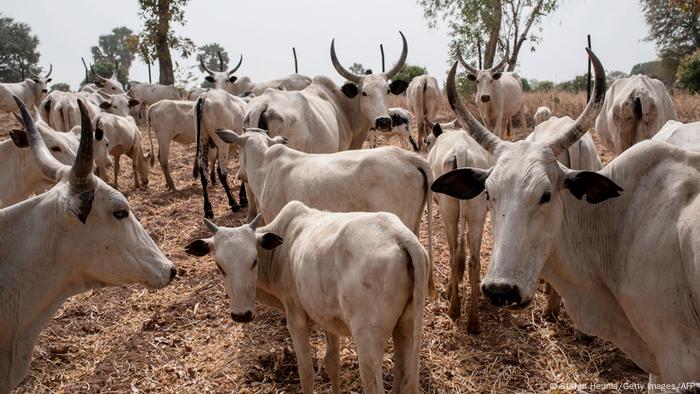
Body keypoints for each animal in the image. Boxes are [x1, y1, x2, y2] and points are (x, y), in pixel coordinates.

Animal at [185, 203, 426, 394]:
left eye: (253, 261)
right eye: (219, 266)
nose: (241, 315)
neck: (281, 251)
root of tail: (399, 235)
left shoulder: (296, 319)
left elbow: (307, 373)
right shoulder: (329, 318)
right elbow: (332, 363)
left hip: (368, 339)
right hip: (406, 328)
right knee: (404, 380)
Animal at [424, 120, 490, 332]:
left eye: (427, 140)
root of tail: (461, 150)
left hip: (449, 212)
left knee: (454, 254)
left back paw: (454, 308)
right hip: (478, 214)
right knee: (474, 260)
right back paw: (473, 321)